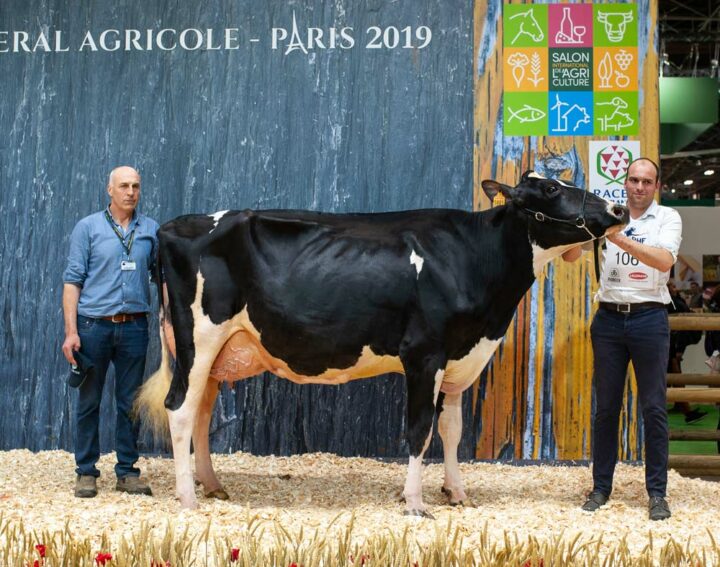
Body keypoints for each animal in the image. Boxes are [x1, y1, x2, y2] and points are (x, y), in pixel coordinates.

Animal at [135, 172, 624, 516]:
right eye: (550, 190)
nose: (618, 210)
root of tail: (174, 225)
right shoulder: (424, 355)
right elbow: (419, 431)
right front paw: (415, 503)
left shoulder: (458, 358)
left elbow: (451, 430)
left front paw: (457, 493)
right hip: (199, 338)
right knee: (180, 409)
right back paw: (187, 499)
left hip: (216, 353)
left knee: (201, 411)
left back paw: (213, 486)